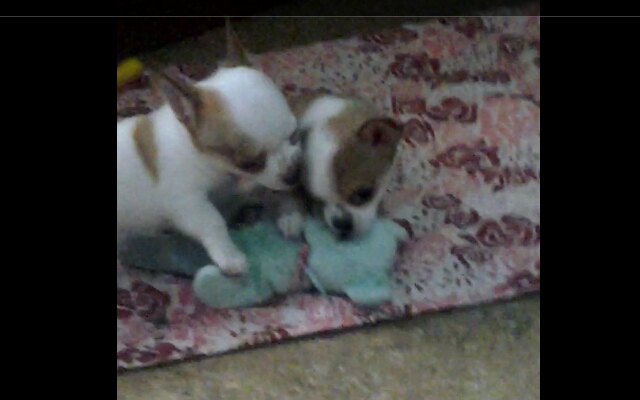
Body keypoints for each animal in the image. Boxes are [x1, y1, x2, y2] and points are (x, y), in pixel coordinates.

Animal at [117, 19, 302, 275]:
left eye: (294, 134)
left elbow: (266, 190)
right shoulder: (186, 202)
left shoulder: (237, 189)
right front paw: (229, 256)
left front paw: (289, 214)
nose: (293, 175)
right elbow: (212, 220)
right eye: (249, 163)